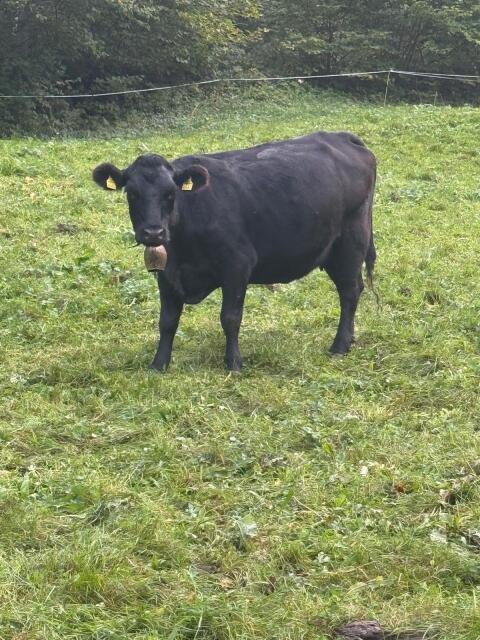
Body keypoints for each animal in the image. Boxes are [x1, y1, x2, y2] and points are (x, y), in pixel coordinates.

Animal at [92, 131, 376, 372]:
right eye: (132, 194)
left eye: (171, 193)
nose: (153, 233)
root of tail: (340, 136)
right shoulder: (166, 273)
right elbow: (167, 320)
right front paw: (159, 363)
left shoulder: (237, 265)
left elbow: (230, 318)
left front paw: (233, 363)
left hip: (351, 242)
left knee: (350, 291)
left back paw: (339, 345)